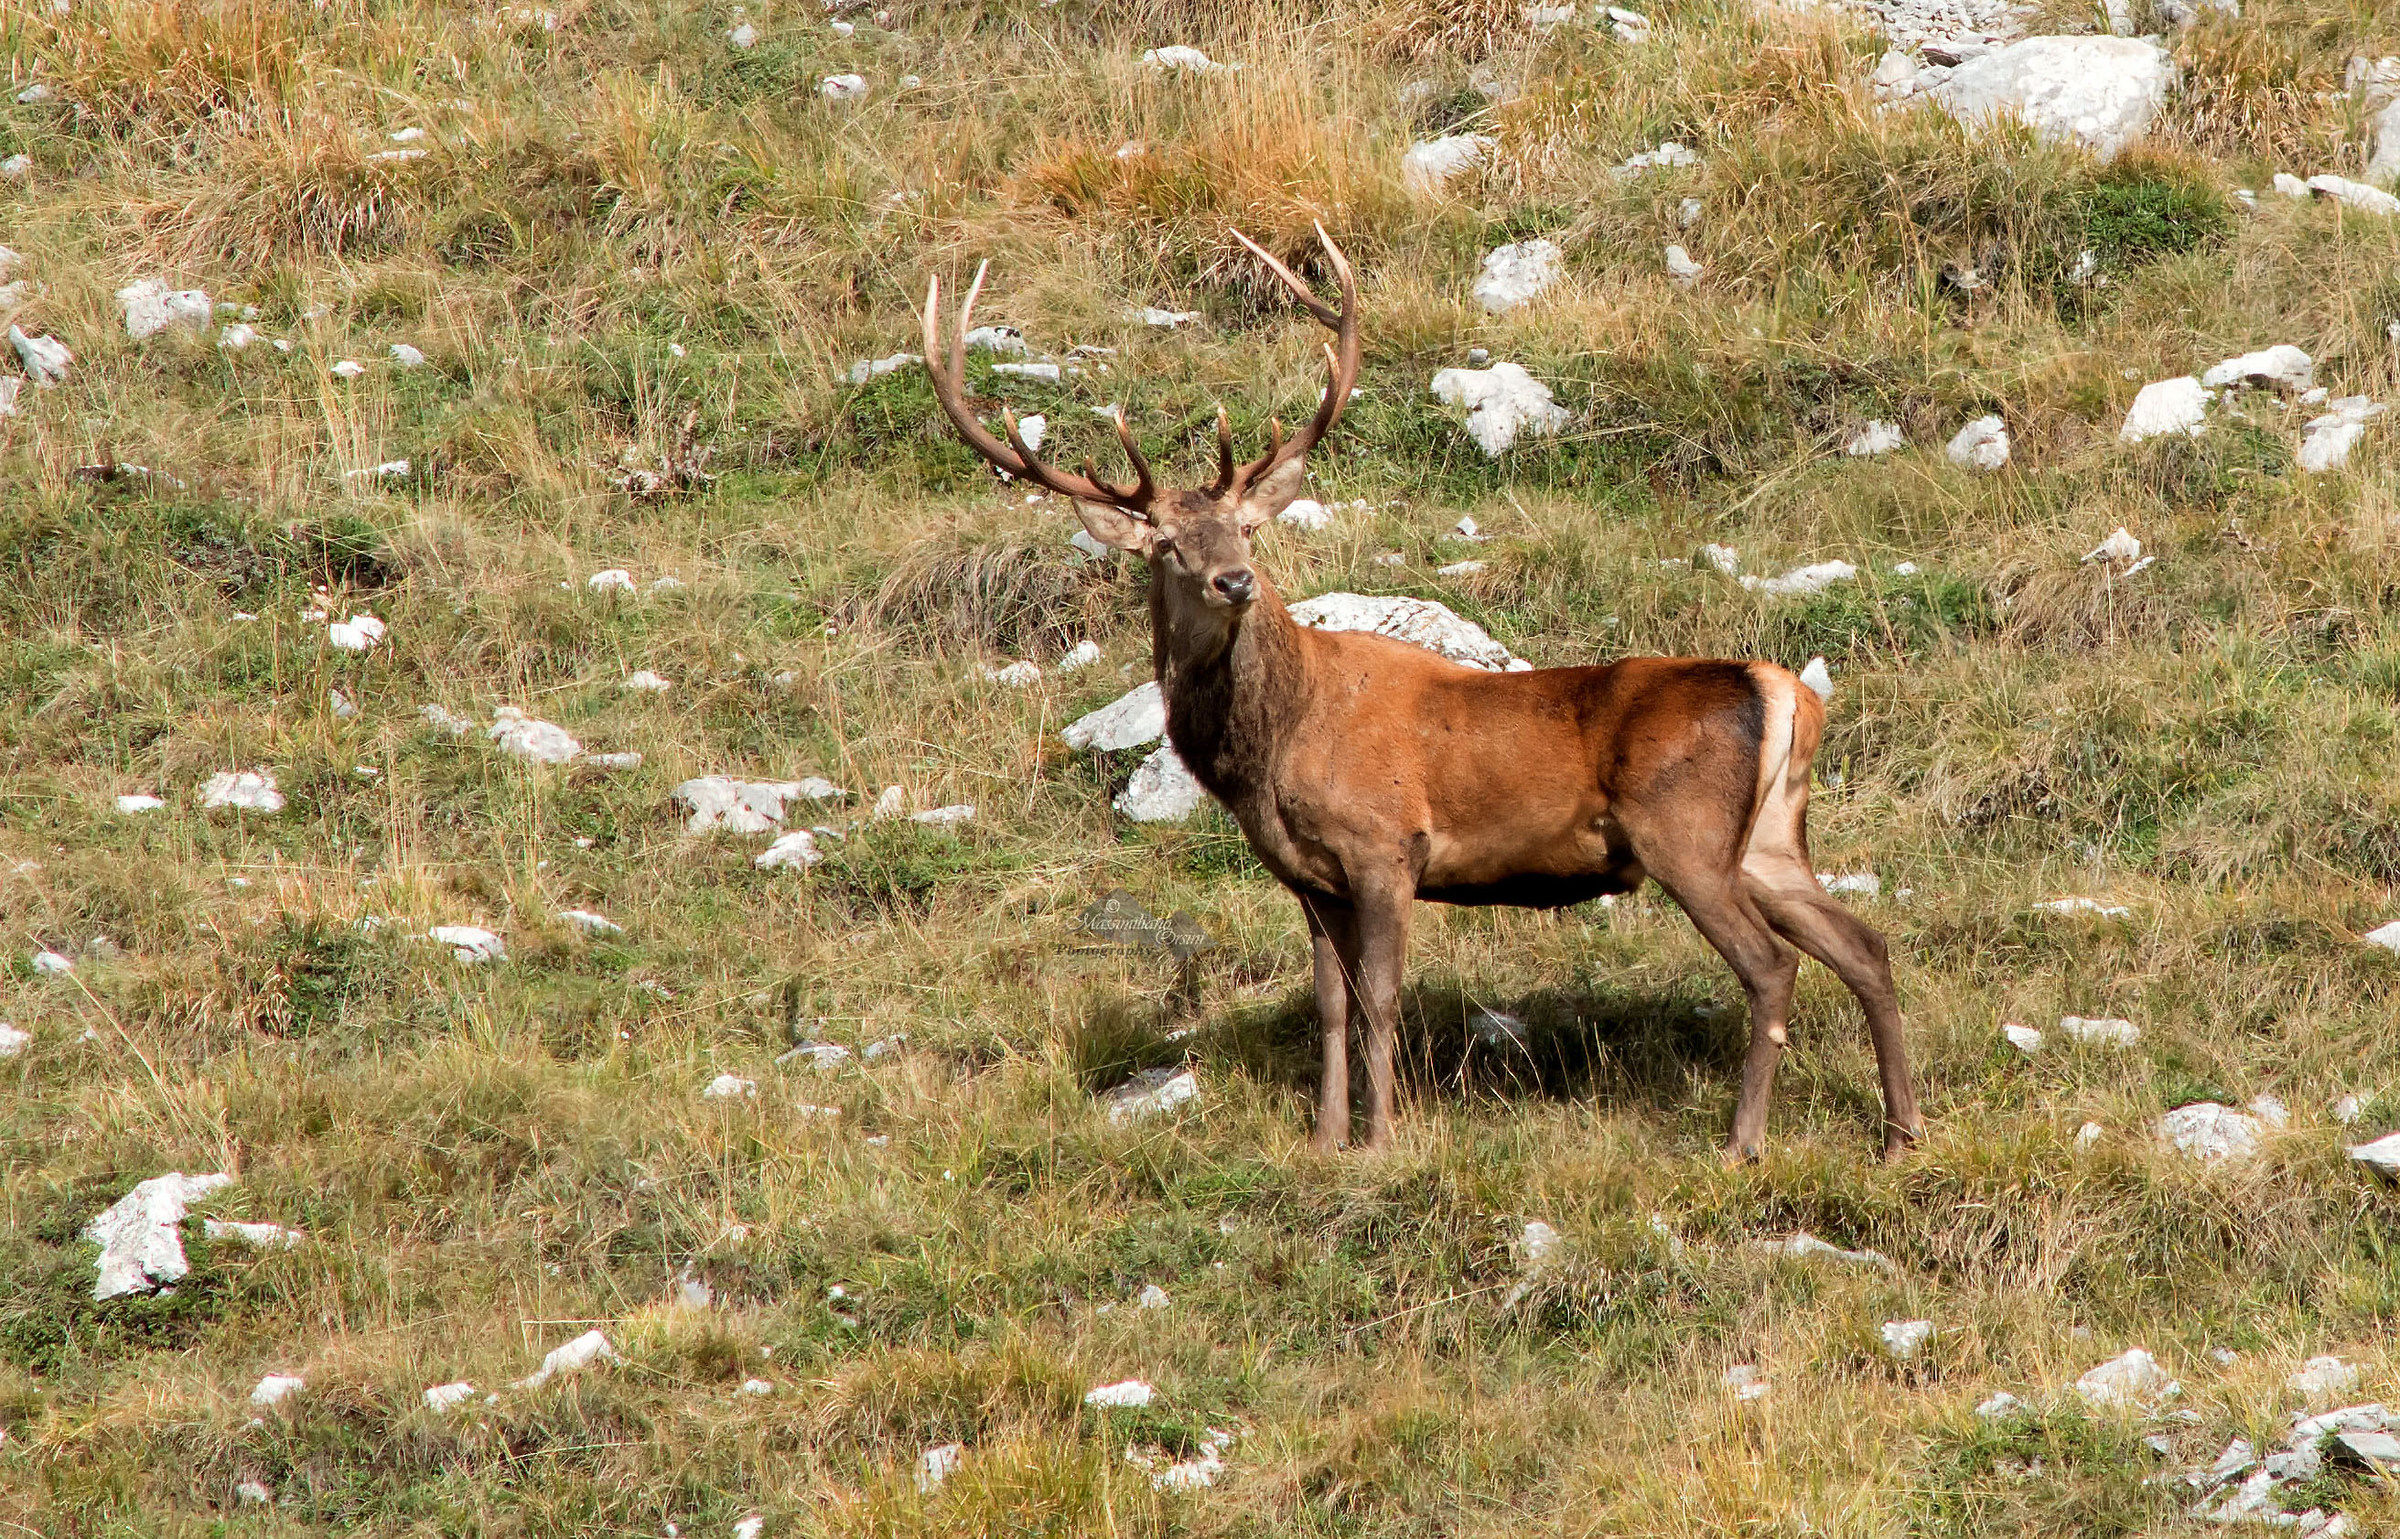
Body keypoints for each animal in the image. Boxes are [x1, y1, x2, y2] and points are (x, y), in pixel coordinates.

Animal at [920, 226, 1925, 1160]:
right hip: (1769, 839)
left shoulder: (1386, 845)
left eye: (1247, 528)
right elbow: (1328, 1006)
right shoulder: (1308, 875)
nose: (1234, 581)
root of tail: (1789, 692)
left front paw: (1380, 1138)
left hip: (1685, 835)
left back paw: (1743, 1139)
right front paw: (1325, 1138)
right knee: (1864, 944)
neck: (1271, 750)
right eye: (1167, 544)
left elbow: (1380, 1001)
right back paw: (1899, 1129)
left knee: (1772, 965)